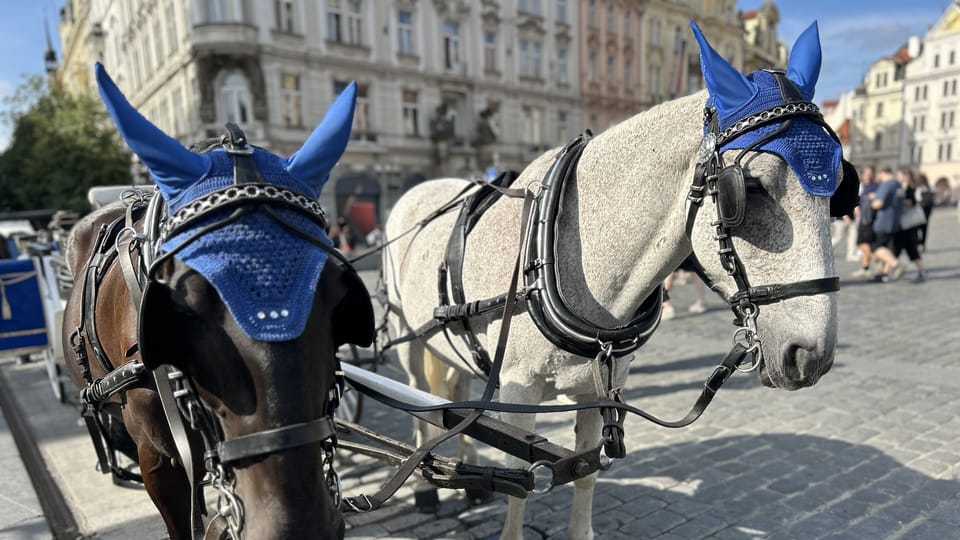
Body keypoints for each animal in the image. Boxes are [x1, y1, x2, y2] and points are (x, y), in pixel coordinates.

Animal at [382, 21, 854, 540]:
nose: (812, 356)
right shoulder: (518, 388)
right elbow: (520, 485)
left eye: (842, 189)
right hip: (408, 338)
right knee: (418, 405)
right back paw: (424, 490)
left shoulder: (596, 391)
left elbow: (585, 472)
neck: (563, 251)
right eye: (751, 187)